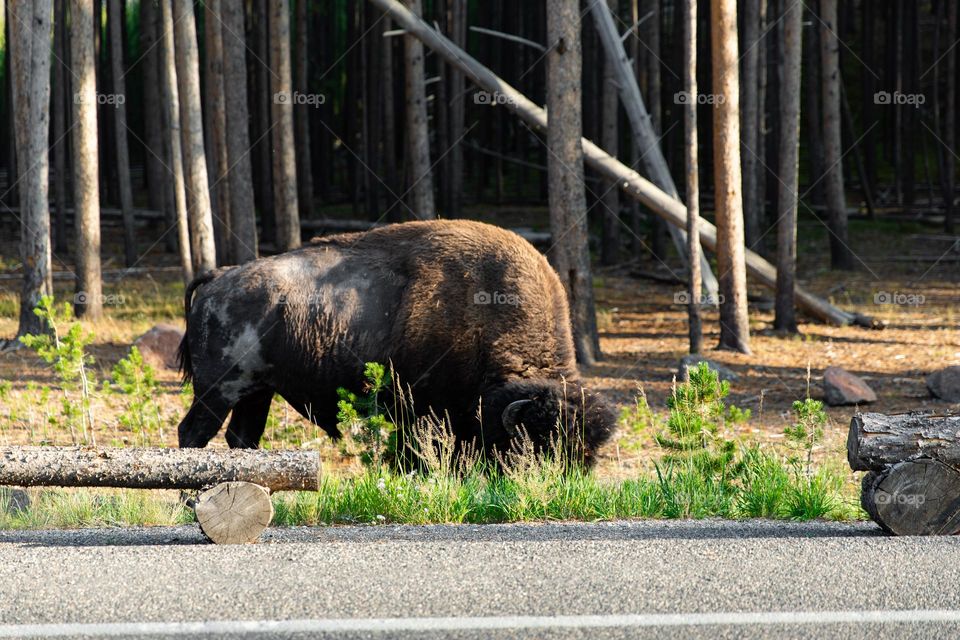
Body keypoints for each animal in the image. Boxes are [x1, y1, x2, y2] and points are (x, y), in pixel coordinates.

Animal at [177, 220, 615, 464]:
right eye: (536, 447)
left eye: (586, 457)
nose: (555, 487)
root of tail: (220, 277)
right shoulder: (423, 411)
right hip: (218, 390)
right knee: (193, 435)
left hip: (257, 392)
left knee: (241, 438)